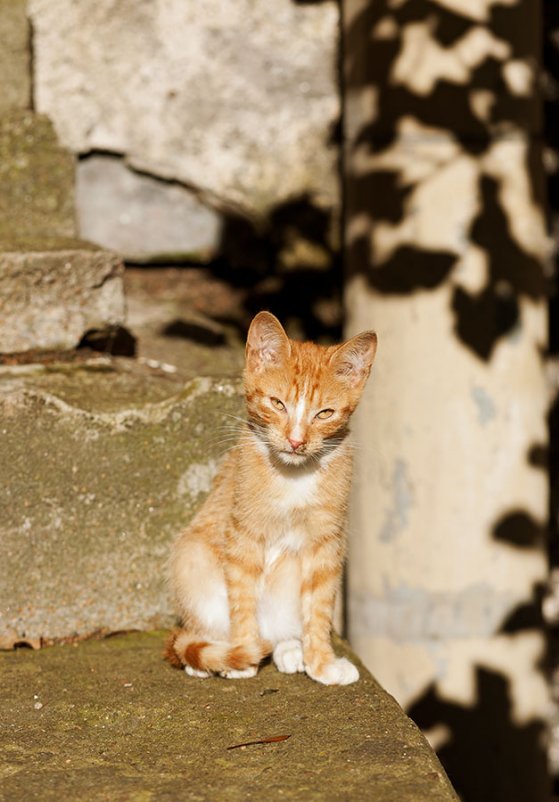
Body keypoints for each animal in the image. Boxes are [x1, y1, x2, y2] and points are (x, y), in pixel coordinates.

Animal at [165, 310, 376, 684]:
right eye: (277, 404)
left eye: (325, 413)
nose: (296, 441)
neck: (293, 476)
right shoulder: (242, 535)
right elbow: (242, 600)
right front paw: (243, 654)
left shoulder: (327, 542)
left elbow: (319, 608)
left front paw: (321, 661)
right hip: (190, 558)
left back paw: (289, 648)